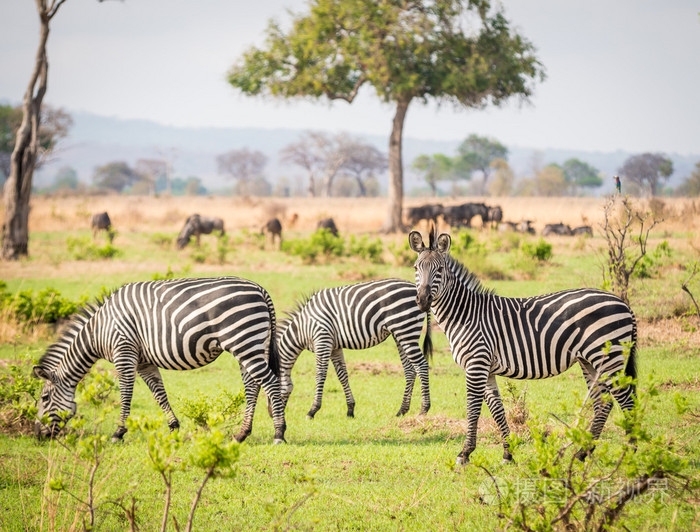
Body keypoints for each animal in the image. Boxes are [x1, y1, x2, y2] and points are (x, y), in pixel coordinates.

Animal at [32, 278, 284, 444]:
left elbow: (126, 393)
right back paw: (242, 434)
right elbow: (158, 394)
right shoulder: (144, 361)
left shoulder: (124, 352)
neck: (99, 331)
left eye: (44, 399)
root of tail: (260, 289)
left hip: (244, 341)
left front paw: (118, 433)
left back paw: (279, 433)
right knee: (253, 386)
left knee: (270, 384)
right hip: (250, 345)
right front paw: (174, 428)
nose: (37, 435)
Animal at [278, 278, 432, 420]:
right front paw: (350, 410)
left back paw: (424, 409)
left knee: (421, 365)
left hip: (405, 330)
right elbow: (342, 375)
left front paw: (312, 410)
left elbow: (320, 375)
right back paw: (402, 410)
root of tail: (417, 289)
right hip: (401, 334)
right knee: (410, 370)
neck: (302, 328)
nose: (273, 416)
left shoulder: (322, 340)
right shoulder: (335, 347)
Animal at [408, 227, 636, 464]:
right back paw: (584, 452)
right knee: (604, 403)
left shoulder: (476, 364)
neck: (465, 315)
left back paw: (630, 451)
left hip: (609, 357)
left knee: (625, 400)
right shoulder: (487, 369)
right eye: (416, 268)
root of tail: (623, 303)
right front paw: (508, 453)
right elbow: (497, 410)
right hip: (591, 361)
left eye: (440, 269)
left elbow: (473, 409)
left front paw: (465, 453)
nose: (422, 301)